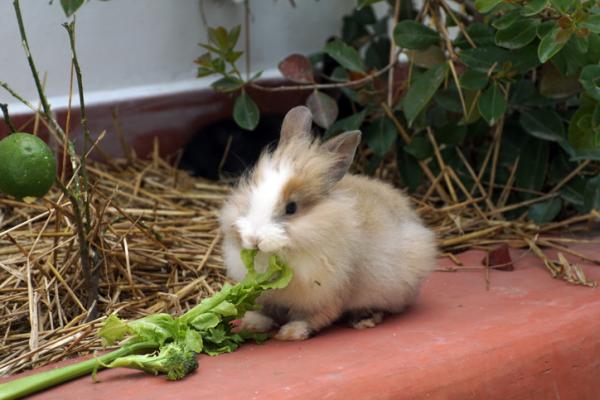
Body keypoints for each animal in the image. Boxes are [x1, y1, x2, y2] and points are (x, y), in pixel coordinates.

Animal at [219, 104, 436, 340]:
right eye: (250, 196)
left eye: (291, 208)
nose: (254, 239)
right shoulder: (266, 295)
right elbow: (265, 310)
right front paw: (253, 324)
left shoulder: (330, 292)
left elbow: (317, 316)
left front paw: (291, 332)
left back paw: (364, 319)